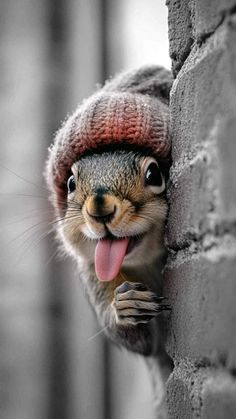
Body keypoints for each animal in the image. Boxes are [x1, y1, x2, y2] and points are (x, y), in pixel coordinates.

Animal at [45, 67, 173, 376]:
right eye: (70, 183)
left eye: (154, 174)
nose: (99, 209)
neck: (145, 264)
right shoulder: (93, 274)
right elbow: (142, 343)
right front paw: (124, 306)